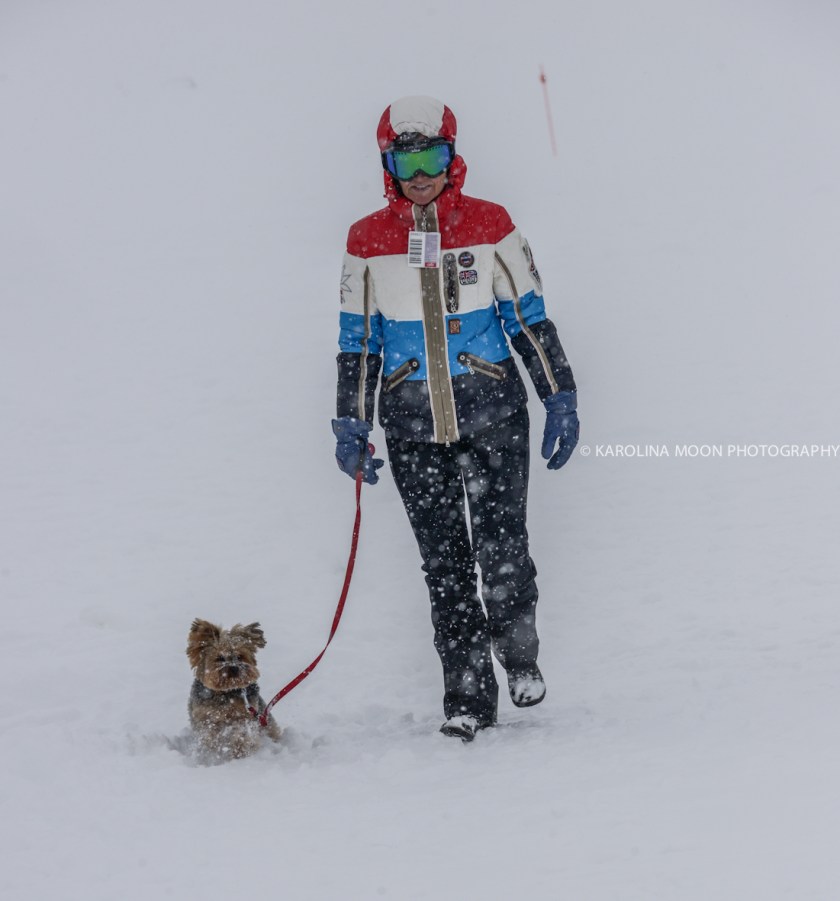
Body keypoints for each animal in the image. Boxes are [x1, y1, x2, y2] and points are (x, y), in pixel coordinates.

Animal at [186, 619, 282, 761]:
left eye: (240, 656)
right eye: (220, 658)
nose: (234, 668)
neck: (226, 692)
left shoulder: (244, 716)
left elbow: (240, 735)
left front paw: (239, 753)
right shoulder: (204, 716)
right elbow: (209, 734)